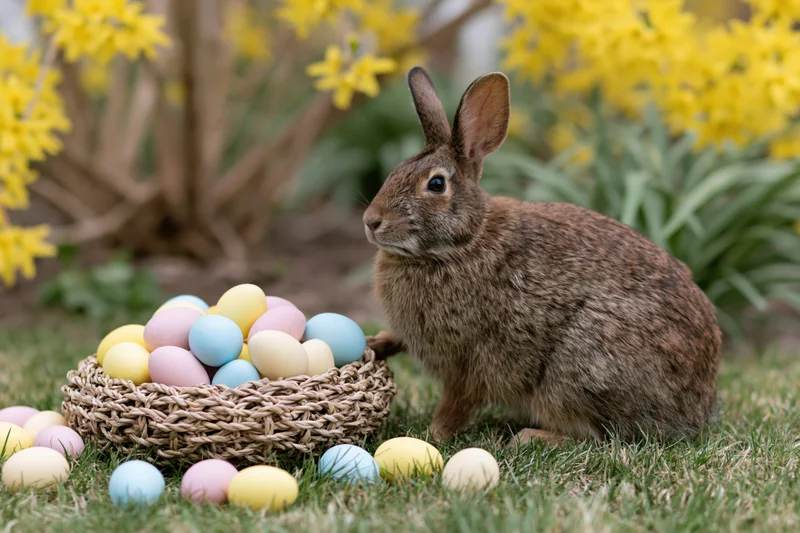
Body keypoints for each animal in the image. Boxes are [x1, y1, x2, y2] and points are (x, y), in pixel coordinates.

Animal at [362, 67, 722, 445]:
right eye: (396, 171)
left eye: (435, 185)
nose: (371, 221)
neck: (463, 242)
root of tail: (696, 410)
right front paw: (376, 343)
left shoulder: (471, 360)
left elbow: (457, 401)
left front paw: (432, 435)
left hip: (579, 368)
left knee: (599, 435)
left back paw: (531, 436)